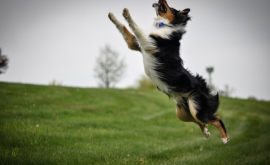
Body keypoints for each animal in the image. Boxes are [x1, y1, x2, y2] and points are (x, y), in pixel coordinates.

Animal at [108, 0, 229, 144]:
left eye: (171, 8)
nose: (161, 0)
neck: (163, 25)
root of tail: (203, 87)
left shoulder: (149, 42)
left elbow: (135, 27)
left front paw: (127, 14)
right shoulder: (136, 44)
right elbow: (123, 27)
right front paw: (112, 16)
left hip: (197, 107)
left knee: (215, 118)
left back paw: (225, 138)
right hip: (182, 113)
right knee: (199, 121)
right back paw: (206, 132)